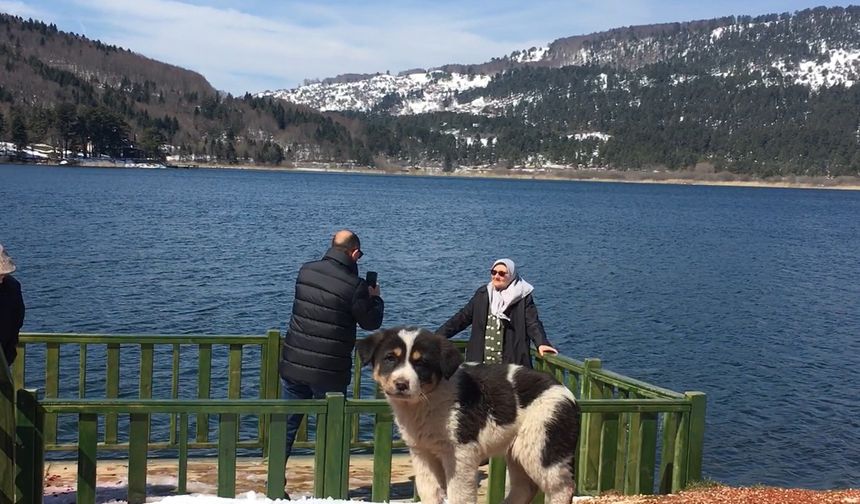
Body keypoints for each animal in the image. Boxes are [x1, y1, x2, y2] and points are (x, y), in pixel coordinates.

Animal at [352, 326, 580, 504]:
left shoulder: (459, 452)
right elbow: (429, 491)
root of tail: (568, 394)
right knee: (525, 487)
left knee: (562, 487)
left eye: (421, 363)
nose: (401, 384)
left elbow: (458, 494)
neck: (428, 399)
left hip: (542, 445)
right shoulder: (422, 452)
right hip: (519, 449)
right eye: (390, 358)